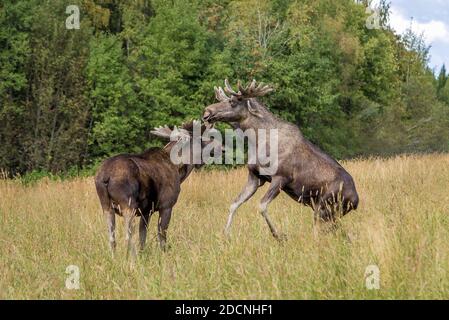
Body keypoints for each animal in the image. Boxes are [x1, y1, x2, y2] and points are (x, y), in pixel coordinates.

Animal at [95, 120, 219, 258]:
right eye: (204, 139)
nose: (220, 148)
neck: (179, 170)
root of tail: (105, 177)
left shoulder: (146, 211)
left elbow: (143, 237)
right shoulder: (166, 206)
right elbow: (161, 236)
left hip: (106, 206)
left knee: (112, 238)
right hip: (128, 205)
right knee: (128, 236)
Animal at [201, 79, 358, 240]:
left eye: (233, 101)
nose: (207, 112)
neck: (256, 140)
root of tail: (356, 201)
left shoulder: (281, 177)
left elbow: (262, 206)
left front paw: (279, 235)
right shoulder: (255, 177)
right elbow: (234, 204)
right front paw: (225, 234)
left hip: (324, 207)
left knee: (321, 229)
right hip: (326, 210)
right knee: (338, 229)